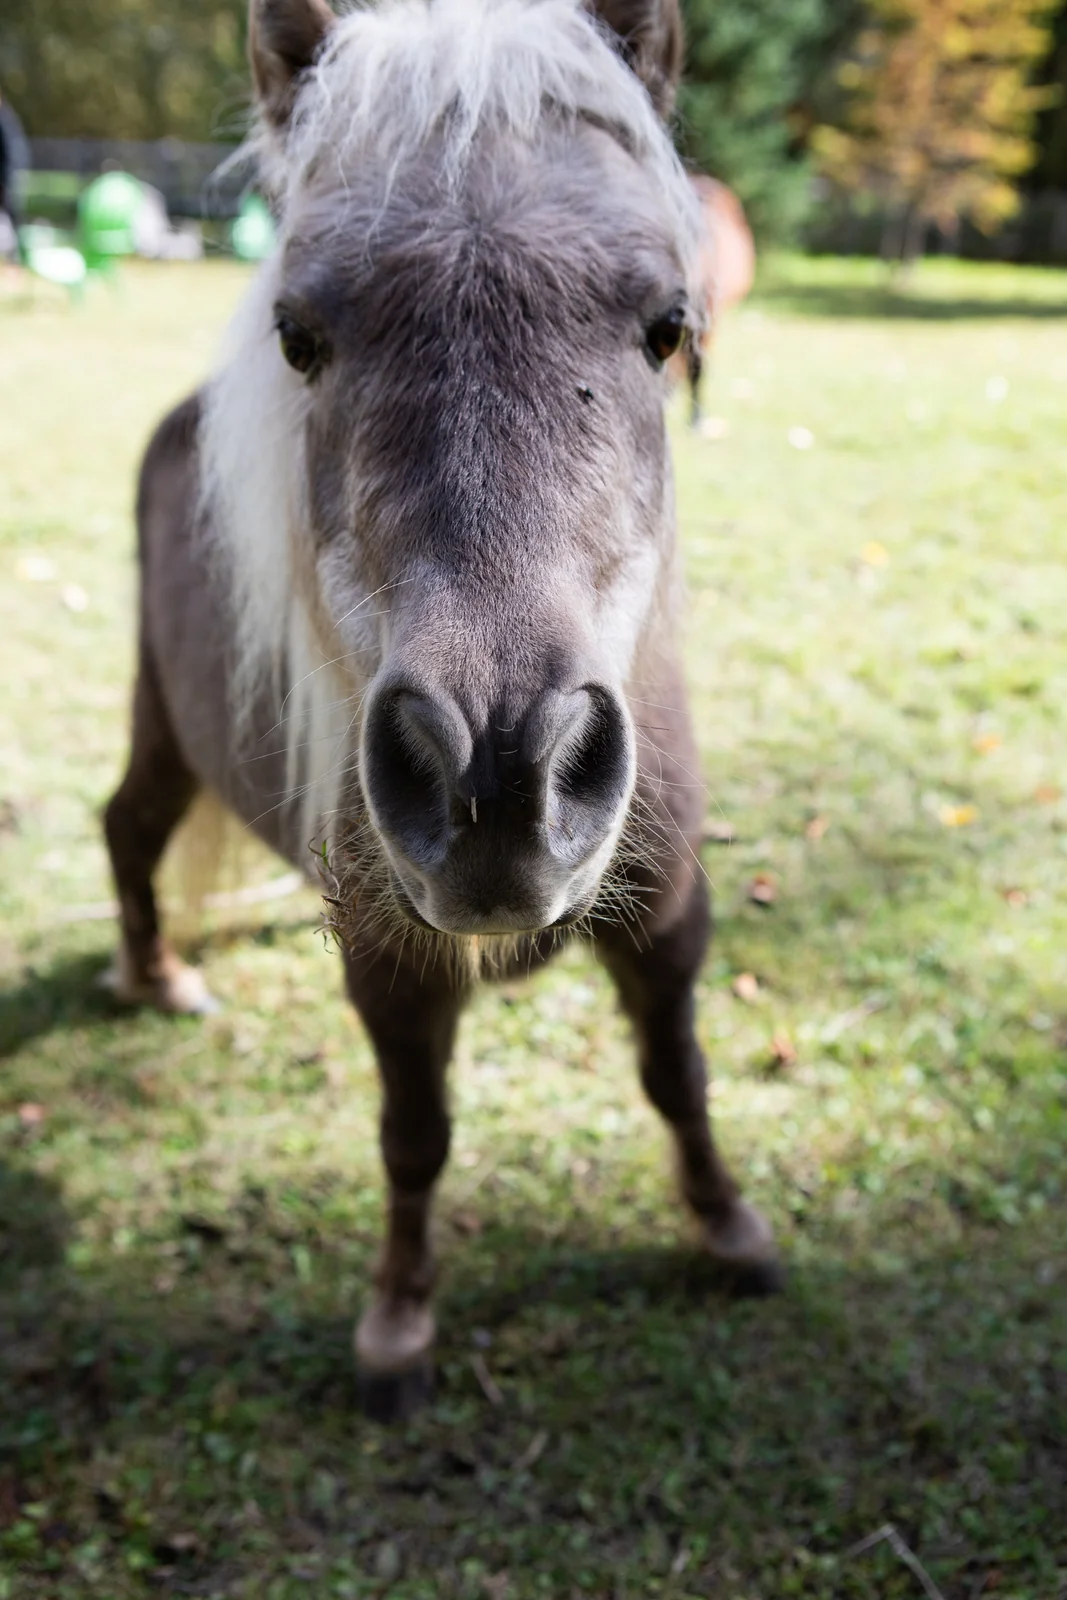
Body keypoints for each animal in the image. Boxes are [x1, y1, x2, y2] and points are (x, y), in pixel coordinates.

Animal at [104, 0, 780, 1419]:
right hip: (164, 723)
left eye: (666, 325)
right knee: (128, 828)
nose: (498, 776)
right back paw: (157, 976)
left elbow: (677, 1077)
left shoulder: (669, 921)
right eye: (298, 335)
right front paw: (398, 1328)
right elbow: (413, 1139)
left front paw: (726, 1228)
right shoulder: (391, 970)